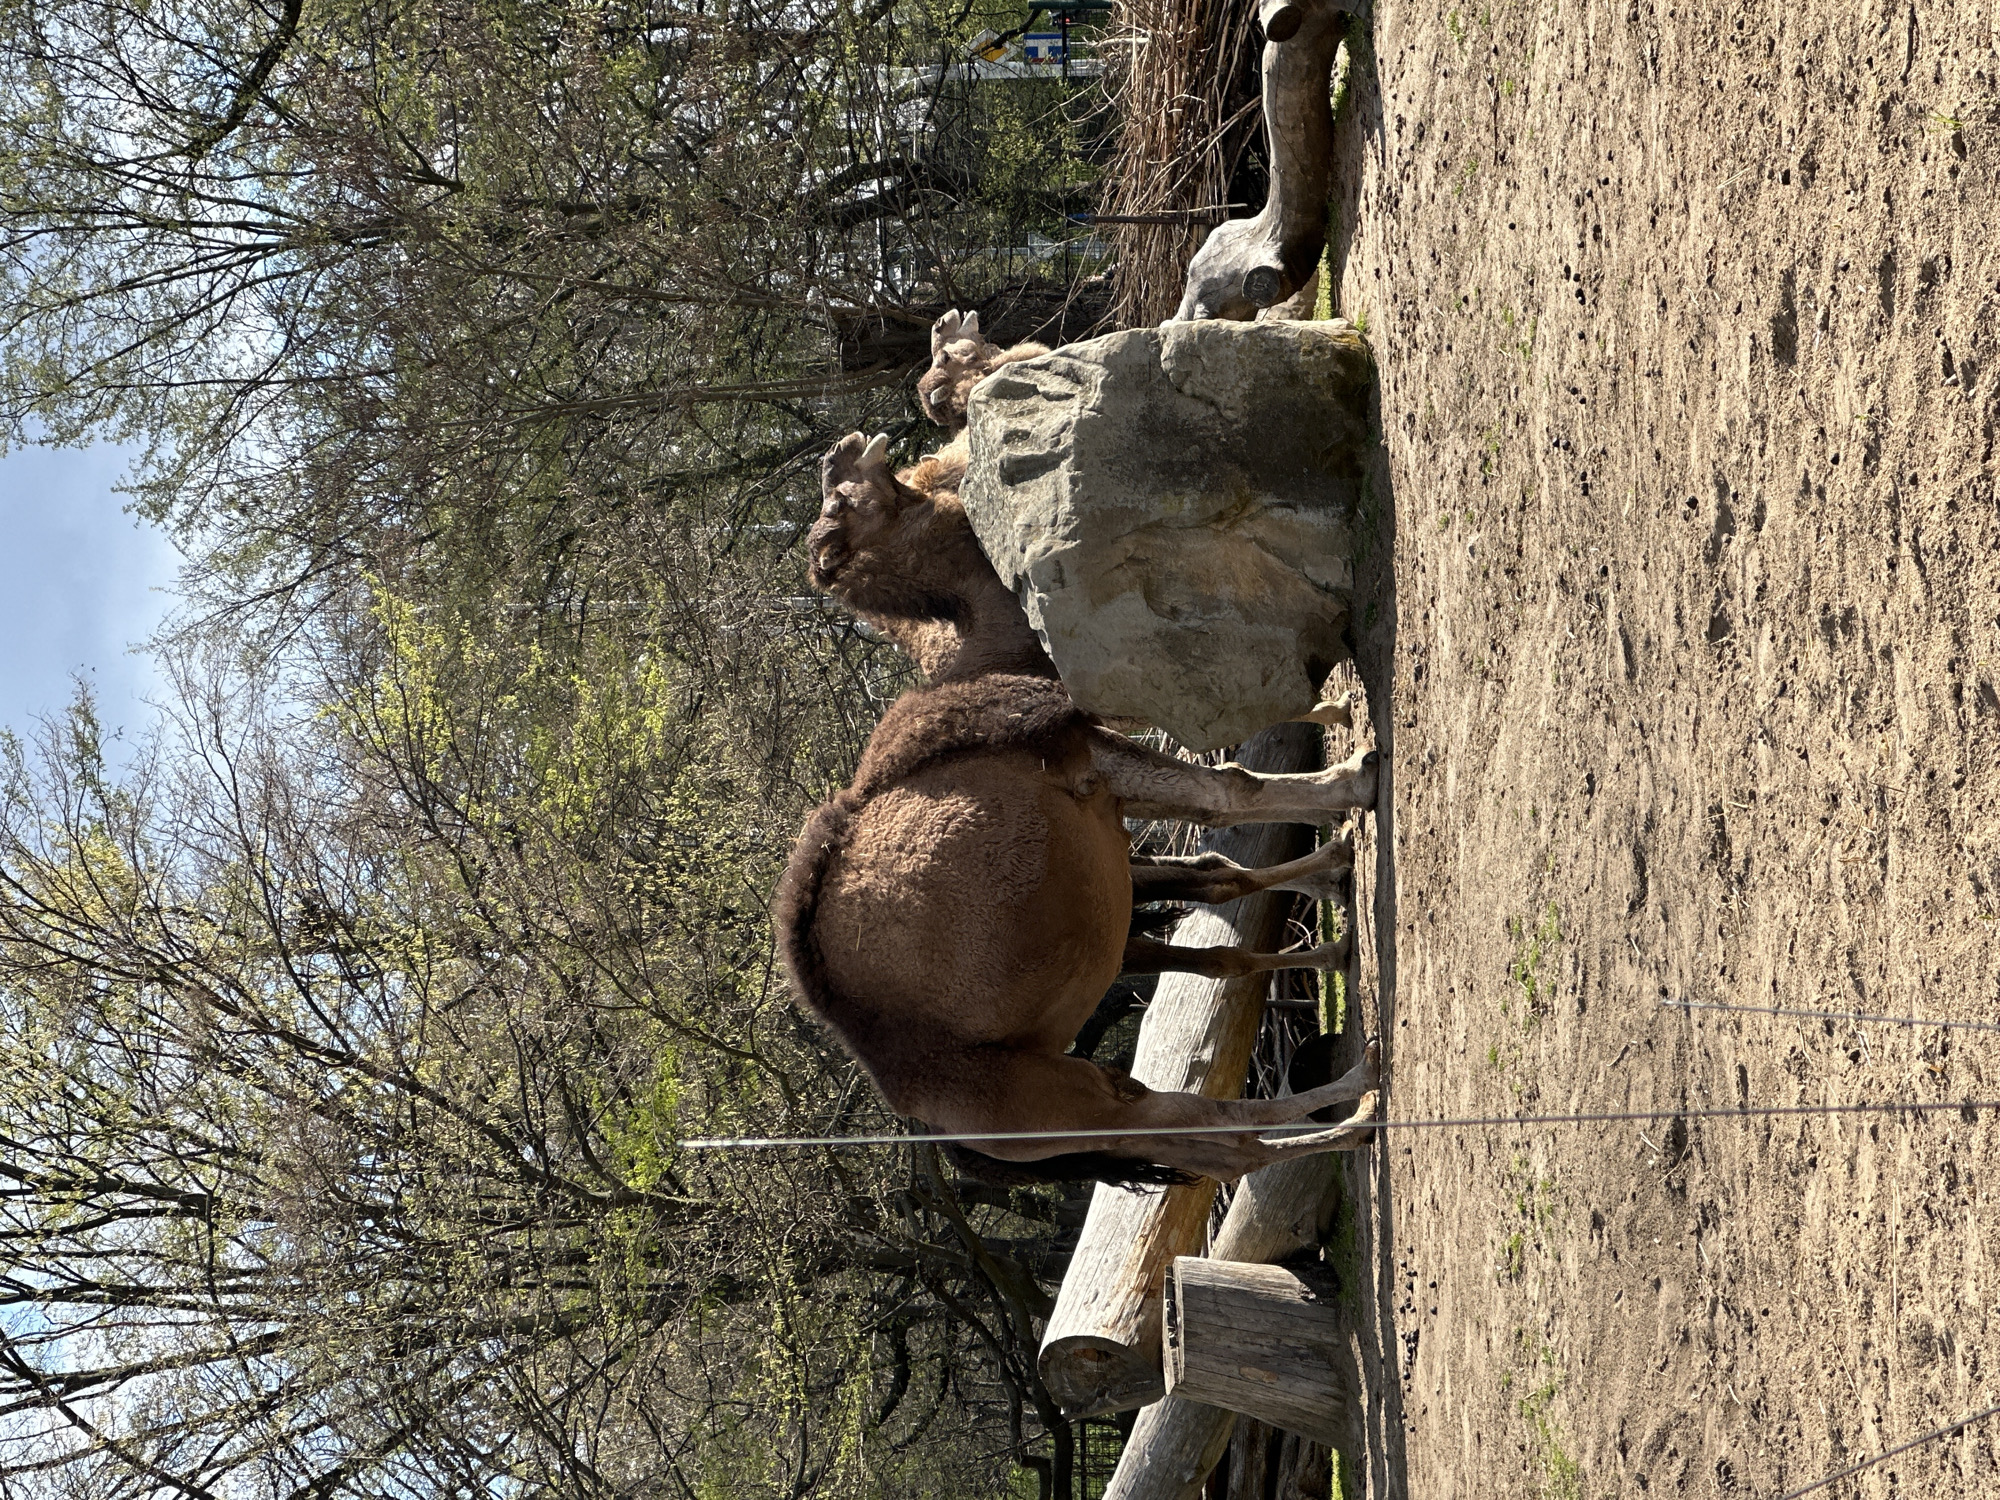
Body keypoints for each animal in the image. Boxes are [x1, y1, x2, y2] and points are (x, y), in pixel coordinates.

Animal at [776, 431, 1384, 1186]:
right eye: (860, 493)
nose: (962, 455)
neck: (984, 661)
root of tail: (919, 1112)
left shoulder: (1102, 790)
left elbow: (1217, 868)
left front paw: (1335, 859)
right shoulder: (1084, 756)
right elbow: (1229, 792)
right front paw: (1355, 785)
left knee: (1203, 1143)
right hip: (1056, 1100)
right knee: (1206, 1128)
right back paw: (1363, 1092)